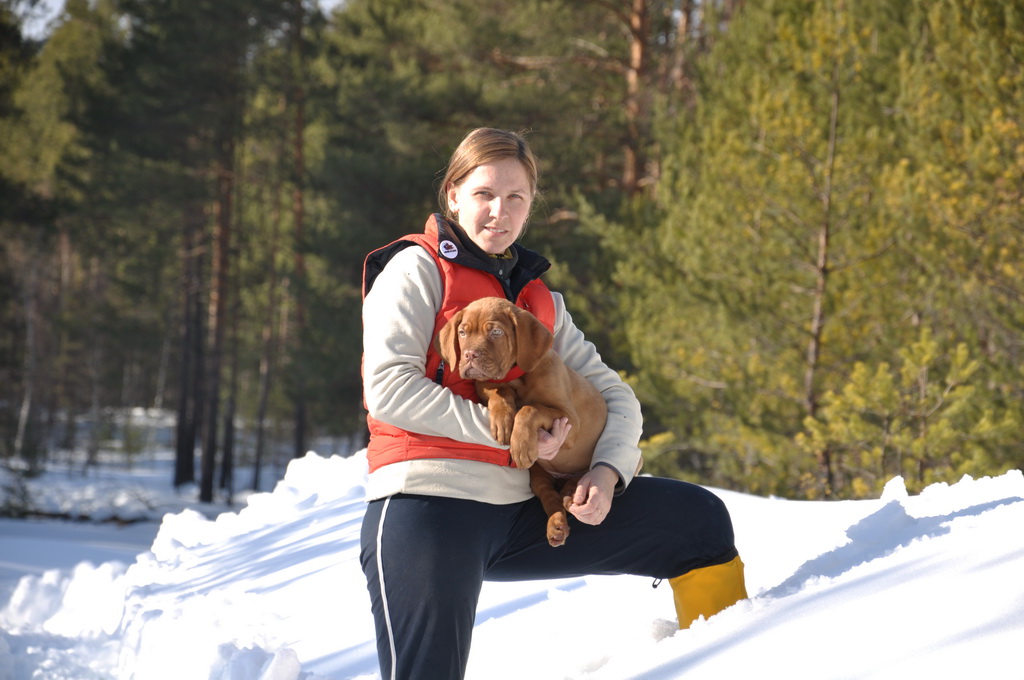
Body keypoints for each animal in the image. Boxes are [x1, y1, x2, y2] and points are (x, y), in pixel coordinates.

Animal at [436, 296, 607, 547]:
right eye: (462, 332)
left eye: (496, 332)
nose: (469, 355)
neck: (516, 378)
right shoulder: (485, 384)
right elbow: (500, 392)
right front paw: (503, 420)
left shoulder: (570, 420)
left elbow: (529, 408)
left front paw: (520, 442)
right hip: (537, 474)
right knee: (549, 495)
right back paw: (557, 524)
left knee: (577, 479)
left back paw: (571, 492)